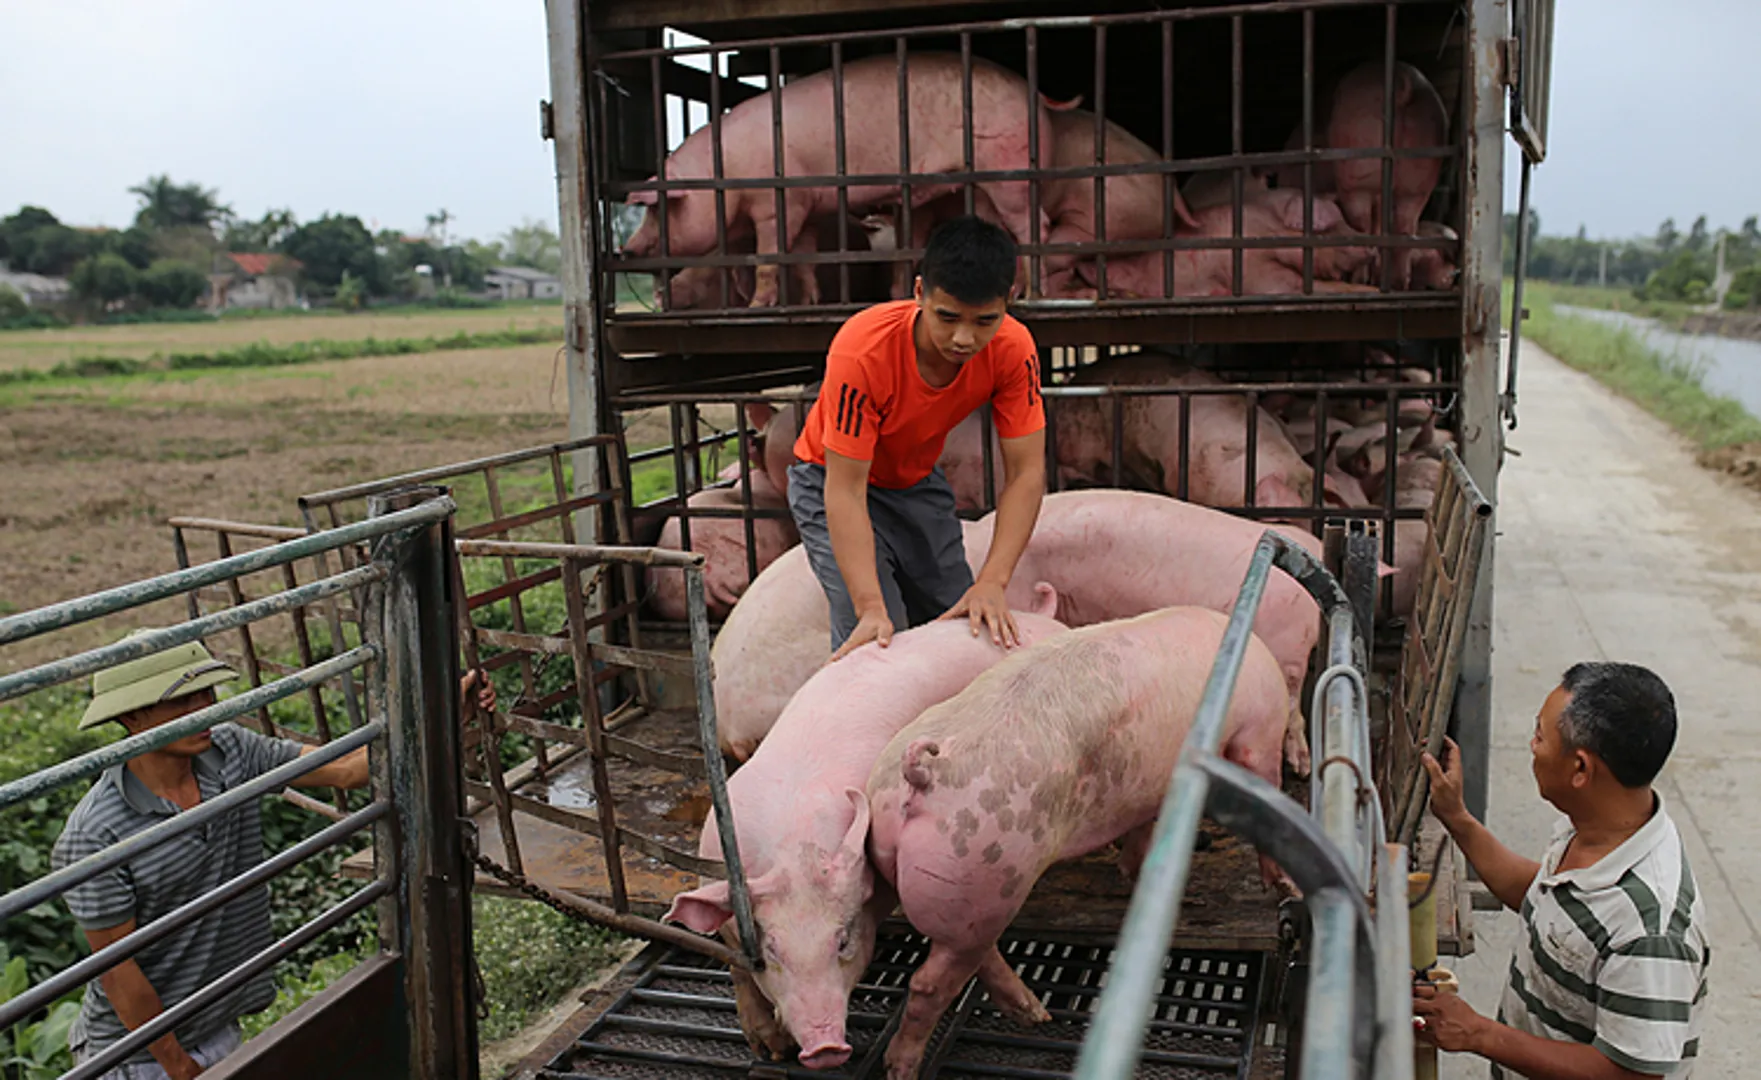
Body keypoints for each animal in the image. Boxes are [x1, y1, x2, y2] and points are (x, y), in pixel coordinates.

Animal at [598, 0, 1465, 317]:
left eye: (656, 212)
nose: (629, 254)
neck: (730, 174)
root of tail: (1034, 98)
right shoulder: (810, 203)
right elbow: (805, 255)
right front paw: (805, 303)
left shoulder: (776, 199)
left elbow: (773, 252)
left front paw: (757, 305)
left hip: (1007, 171)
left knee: (1037, 233)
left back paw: (1039, 289)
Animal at [665, 602, 1063, 1064]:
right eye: (772, 949)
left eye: (842, 940)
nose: (824, 1048)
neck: (793, 849)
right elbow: (736, 966)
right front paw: (771, 1051)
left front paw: (1037, 1017)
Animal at [866, 606, 1296, 1078]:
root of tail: (922, 773)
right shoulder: (1260, 727)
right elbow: (1264, 784)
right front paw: (1286, 887)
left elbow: (1143, 833)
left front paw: (1135, 871)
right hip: (983, 867)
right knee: (929, 982)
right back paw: (903, 1066)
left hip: (964, 892)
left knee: (974, 953)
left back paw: (1034, 1013)